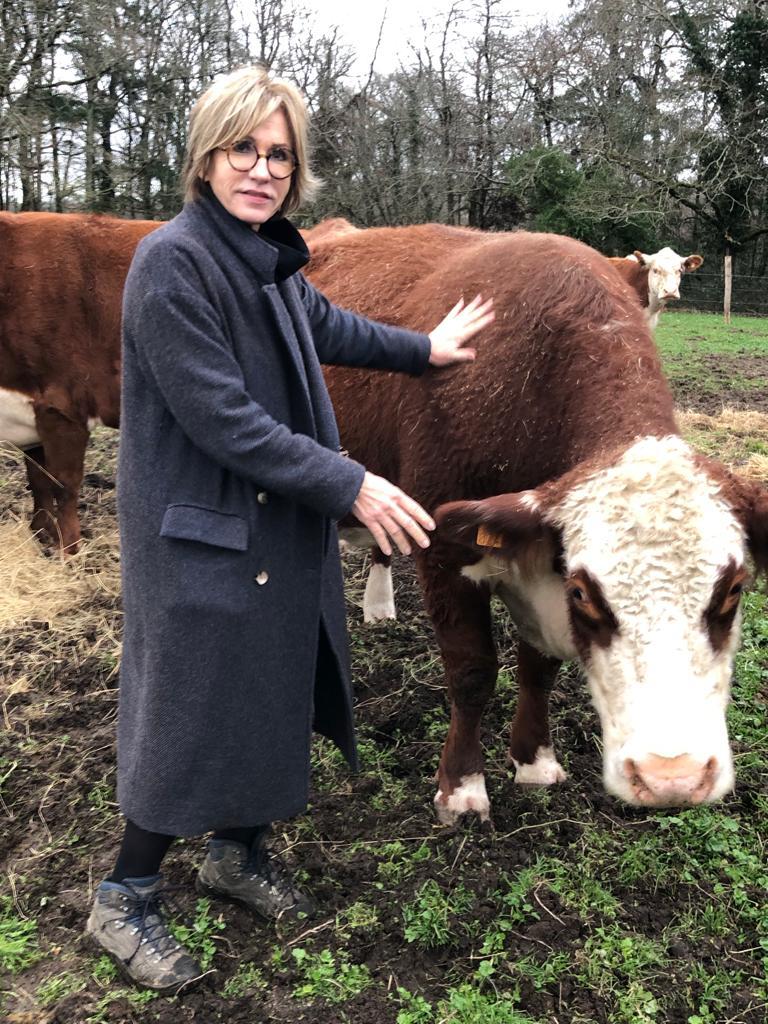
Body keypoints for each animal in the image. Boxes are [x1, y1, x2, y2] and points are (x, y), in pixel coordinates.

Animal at [0, 207, 159, 552]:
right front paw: (41, 536)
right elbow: (38, 480)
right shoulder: (31, 410)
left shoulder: (63, 405)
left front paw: (69, 551)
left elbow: (64, 485)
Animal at [303, 228, 765, 819]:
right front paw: (461, 787)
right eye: (586, 593)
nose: (671, 775)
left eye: (733, 589)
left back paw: (379, 605)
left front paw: (534, 761)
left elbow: (538, 667)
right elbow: (472, 671)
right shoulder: (443, 549)